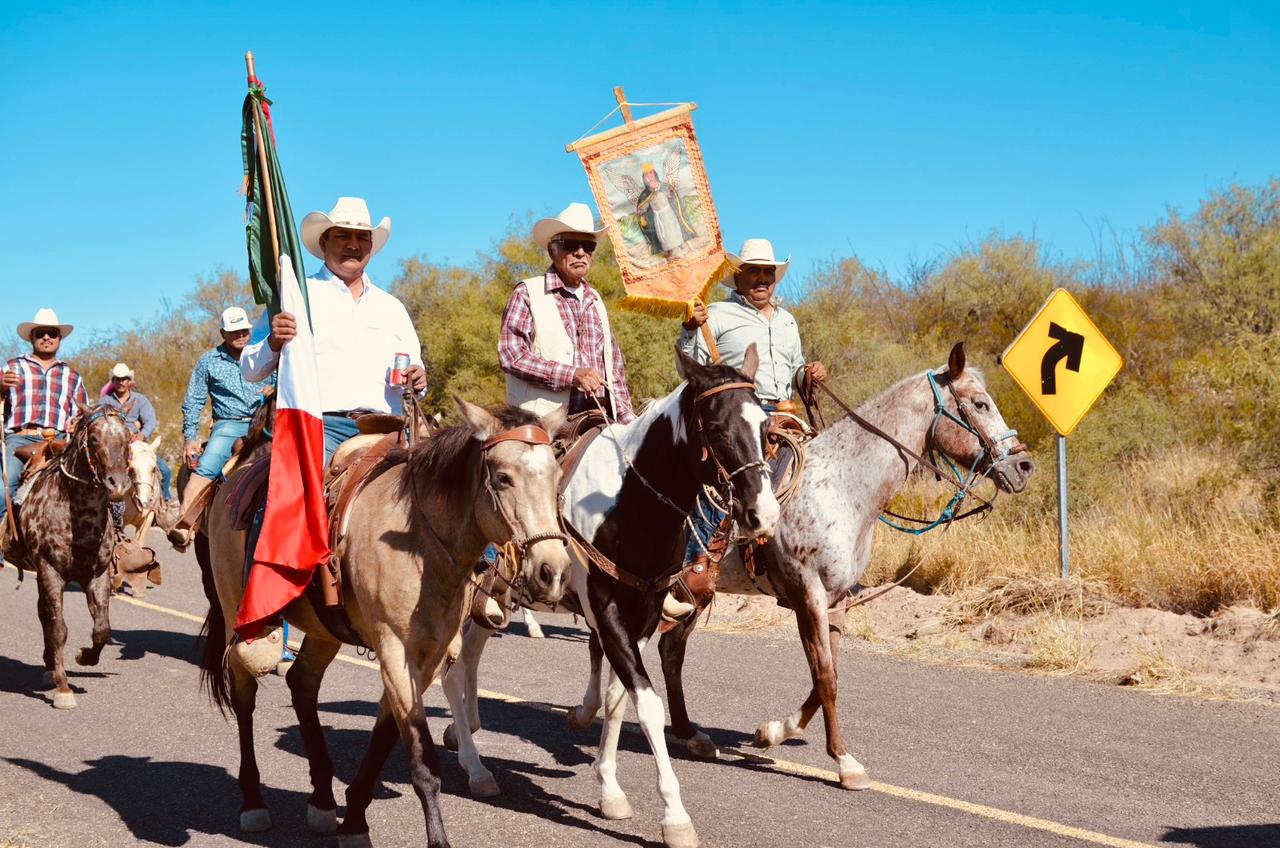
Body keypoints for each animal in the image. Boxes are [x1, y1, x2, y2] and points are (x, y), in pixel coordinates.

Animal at [12, 404, 132, 712]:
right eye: (94, 439)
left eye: (127, 437)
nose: (118, 484)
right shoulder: (50, 571)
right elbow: (59, 629)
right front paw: (64, 688)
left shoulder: (97, 575)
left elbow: (102, 629)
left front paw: (84, 656)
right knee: (47, 616)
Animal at [195, 402, 570, 848]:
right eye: (503, 477)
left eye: (557, 477)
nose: (552, 571)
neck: (420, 543)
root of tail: (237, 473)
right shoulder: (394, 649)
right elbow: (423, 761)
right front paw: (436, 839)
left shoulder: (426, 658)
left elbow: (385, 738)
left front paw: (354, 819)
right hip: (236, 612)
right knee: (244, 693)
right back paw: (253, 802)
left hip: (324, 630)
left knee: (302, 684)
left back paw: (322, 802)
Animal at [440, 348, 778, 848]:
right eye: (717, 428)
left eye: (765, 428)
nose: (763, 514)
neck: (631, 503)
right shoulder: (606, 611)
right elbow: (649, 706)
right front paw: (675, 816)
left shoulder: (644, 614)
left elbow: (619, 699)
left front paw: (609, 788)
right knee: (450, 669)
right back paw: (473, 764)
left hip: (494, 603)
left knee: (469, 659)